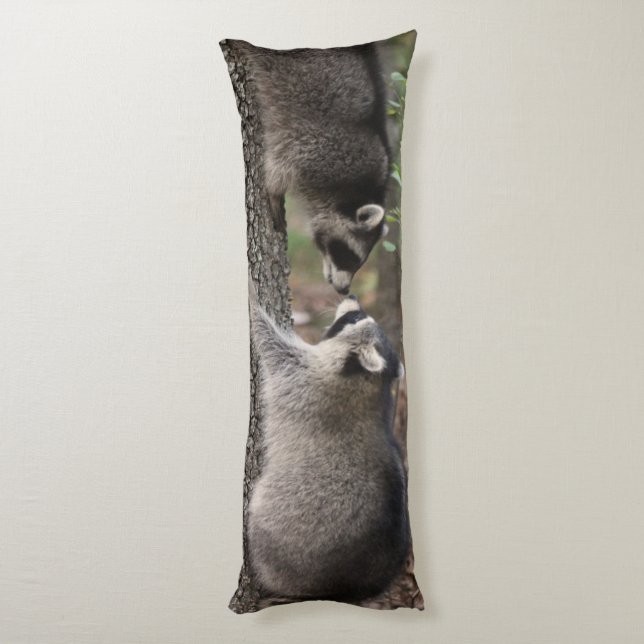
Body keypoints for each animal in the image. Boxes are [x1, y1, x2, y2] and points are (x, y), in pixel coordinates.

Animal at [239, 41, 391, 293]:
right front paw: (273, 191)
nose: (344, 290)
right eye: (347, 254)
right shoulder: (318, 145)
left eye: (361, 261)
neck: (349, 191)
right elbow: (280, 165)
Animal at [247, 294, 409, 603]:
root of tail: (341, 589)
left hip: (285, 525)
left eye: (353, 319)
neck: (372, 383)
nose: (351, 296)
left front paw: (252, 304)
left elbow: (273, 347)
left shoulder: (304, 381)